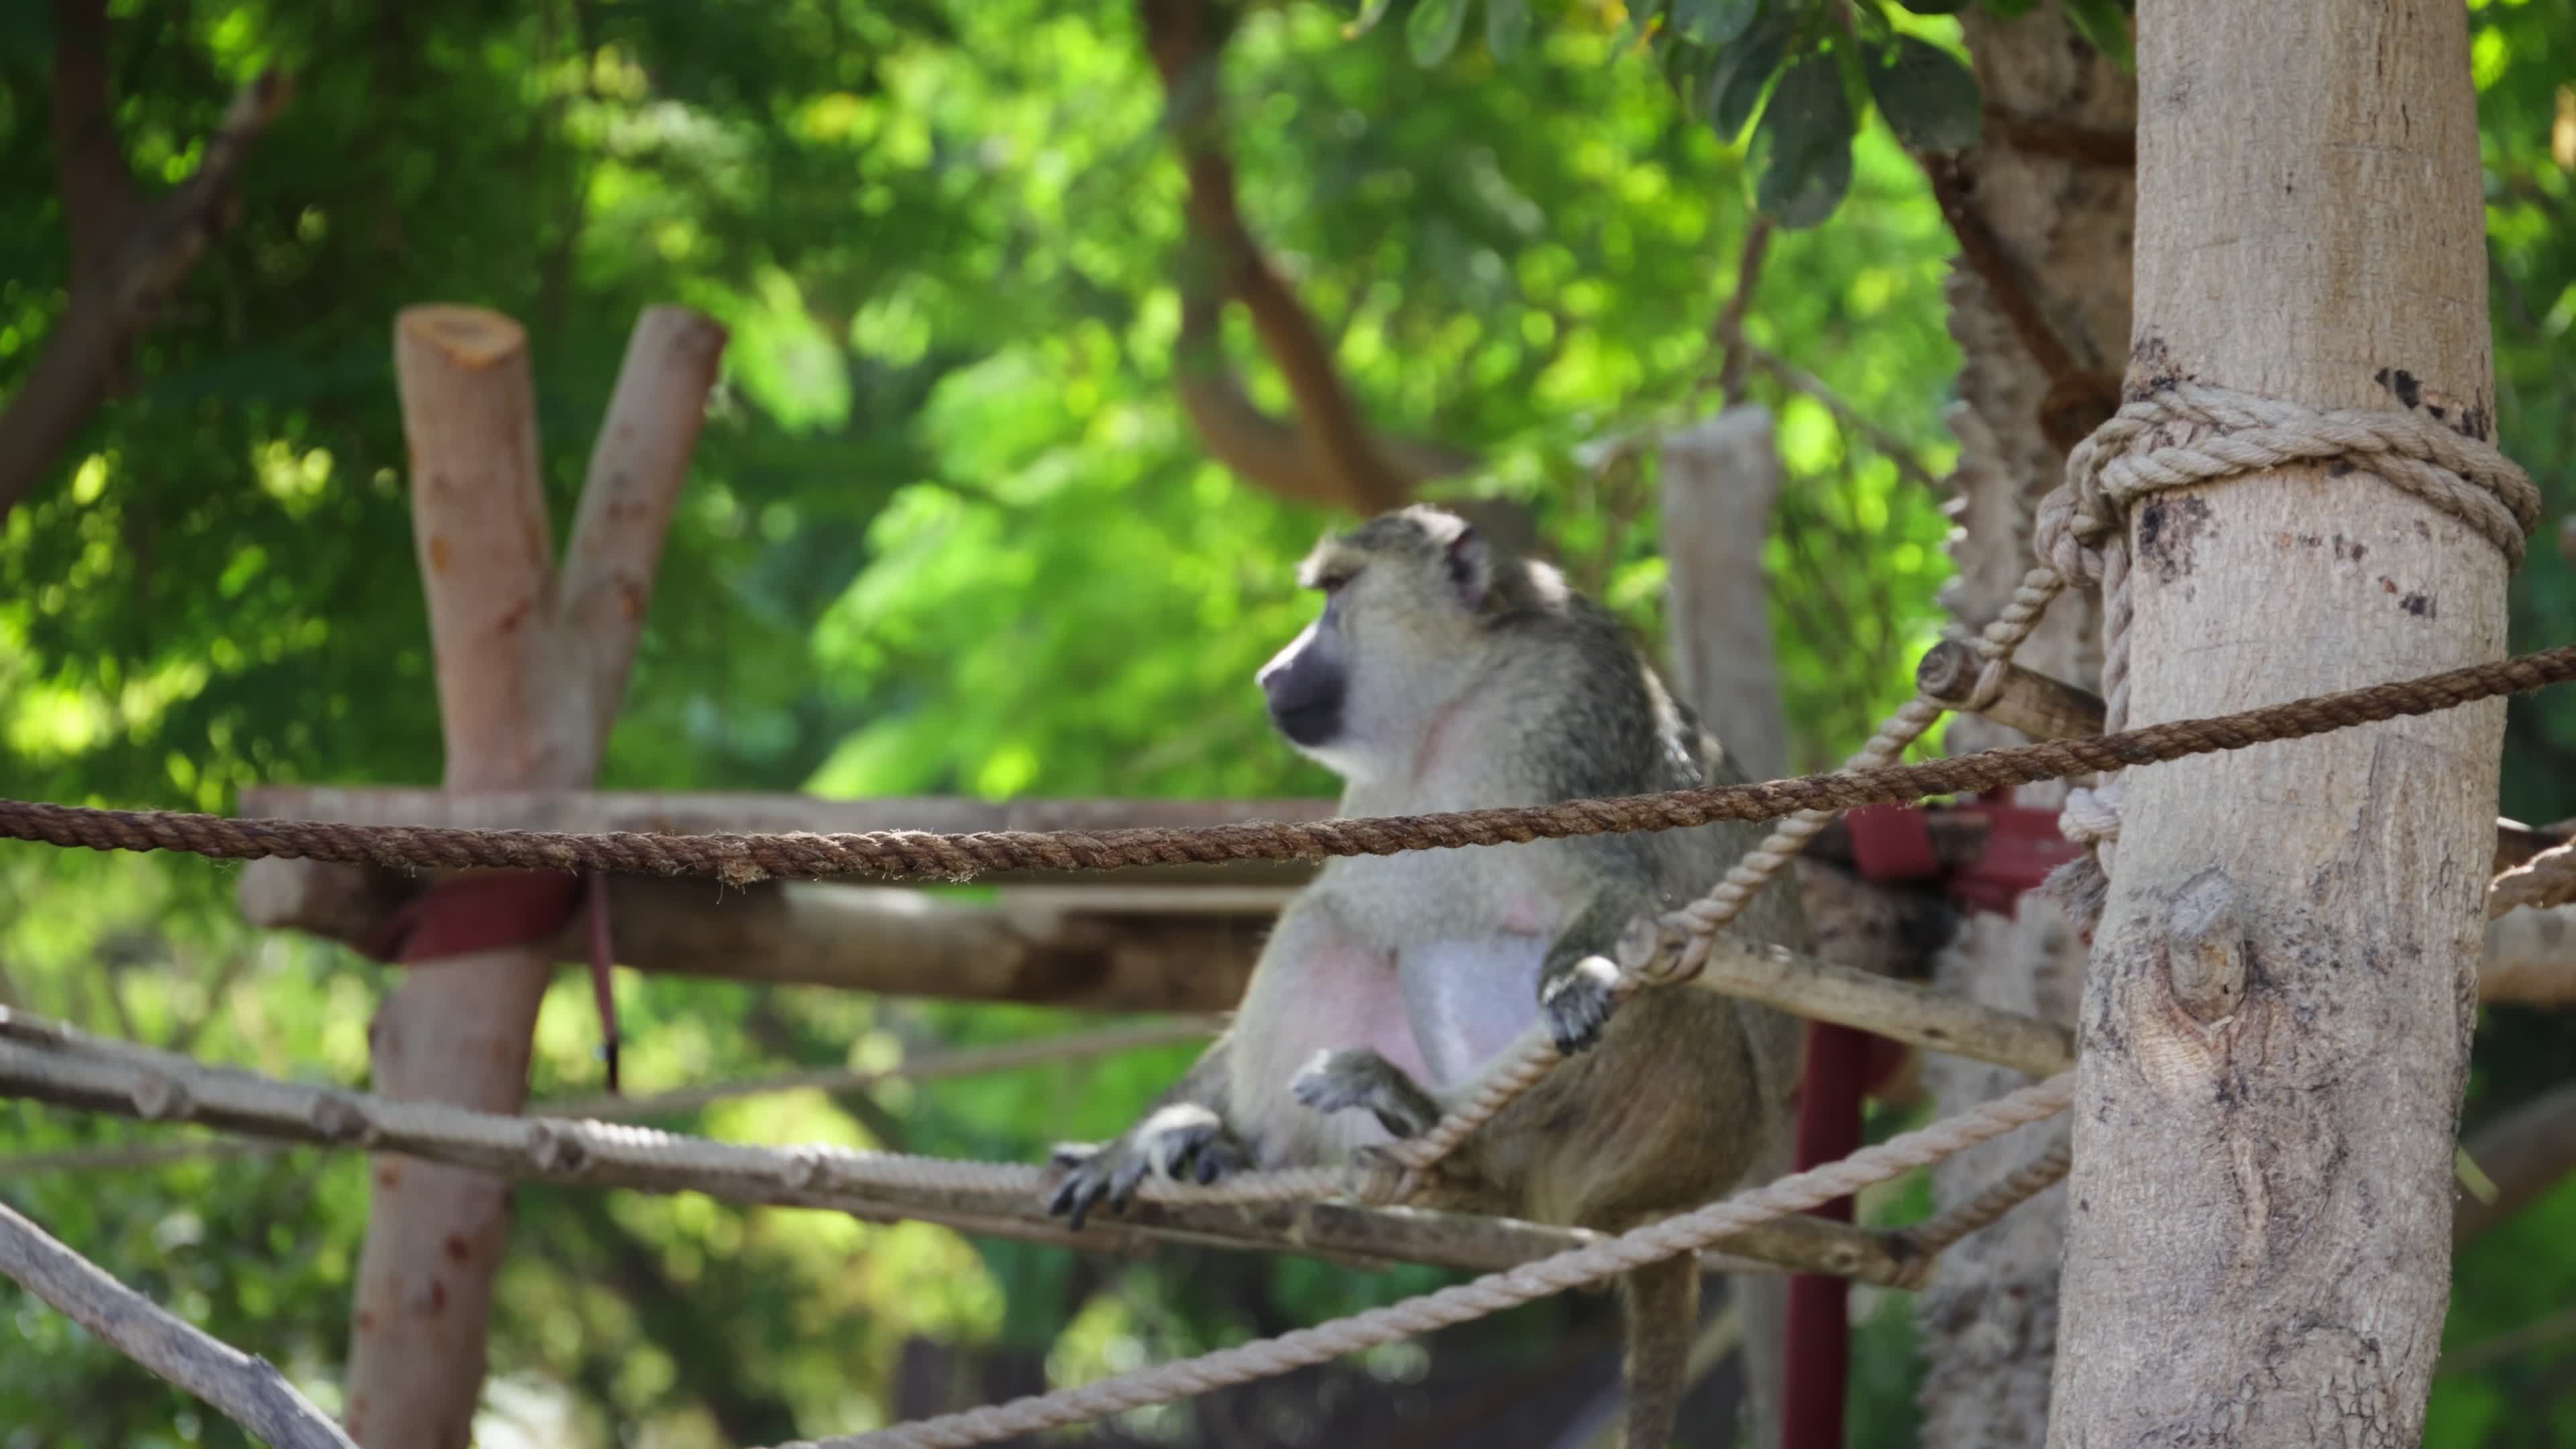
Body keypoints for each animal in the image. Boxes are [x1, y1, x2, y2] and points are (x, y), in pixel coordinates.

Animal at [1044, 504, 1805, 1449]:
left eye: (1337, 590)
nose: (1271, 673)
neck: (1456, 697)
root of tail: (1678, 1198)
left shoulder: (1573, 707)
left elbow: (1619, 892)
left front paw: (1576, 983)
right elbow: (1359, 911)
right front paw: (1139, 1139)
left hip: (1679, 1113)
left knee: (1648, 988)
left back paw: (1439, 1127)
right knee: (1337, 925)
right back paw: (1264, 1146)